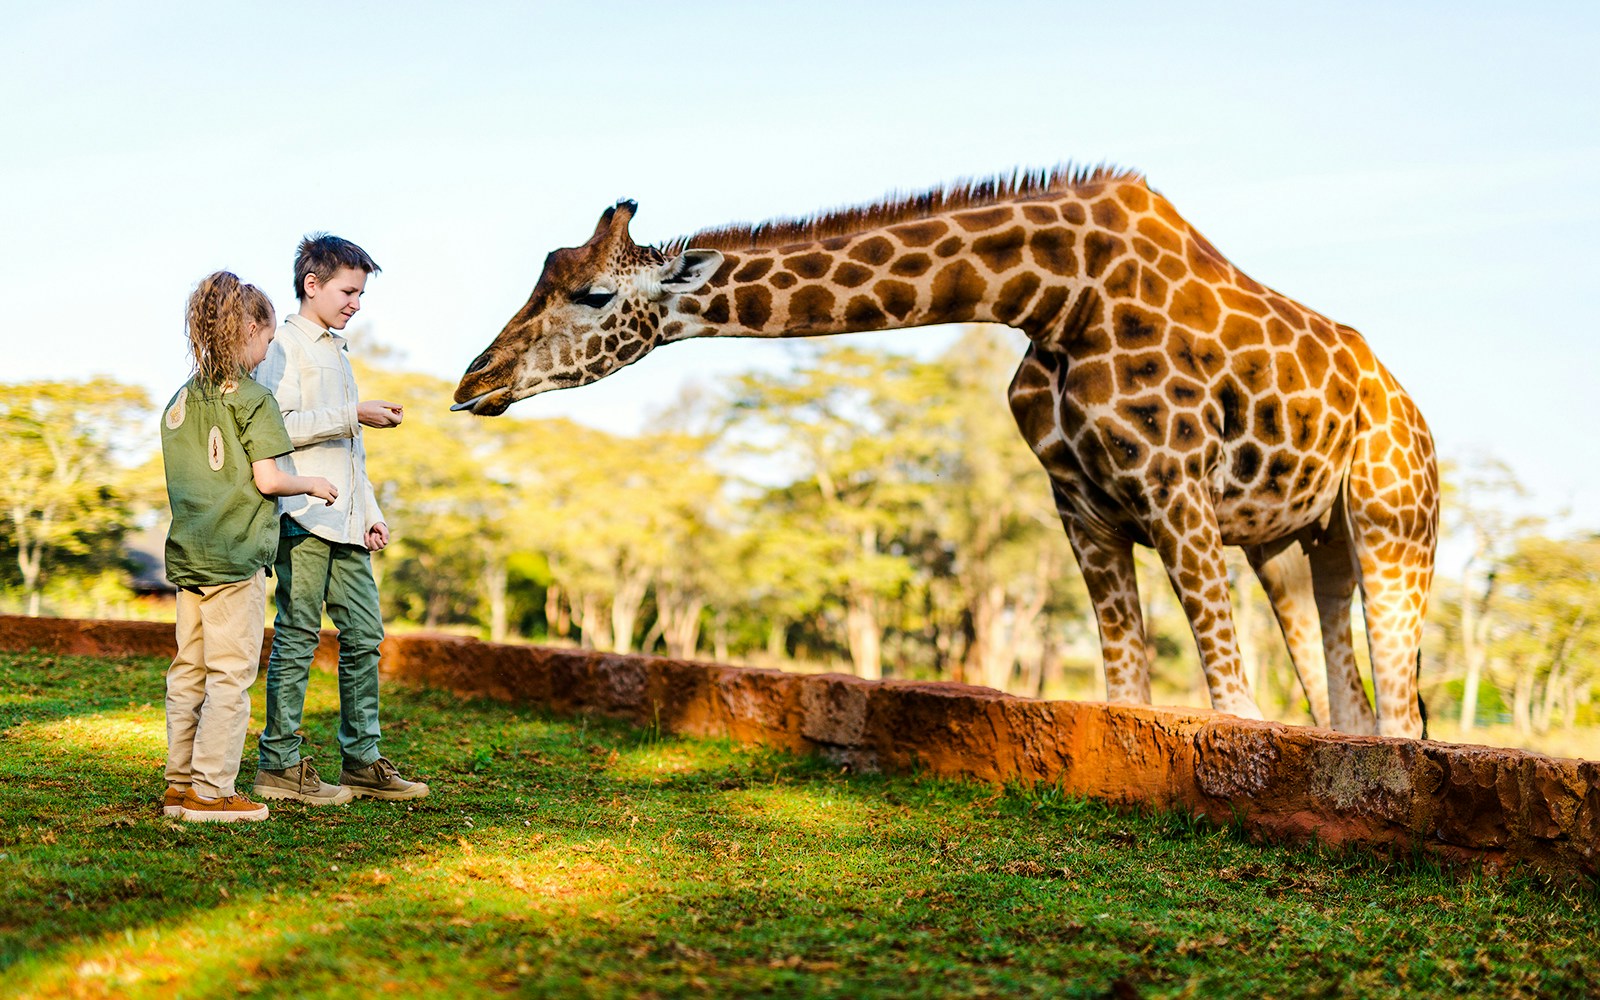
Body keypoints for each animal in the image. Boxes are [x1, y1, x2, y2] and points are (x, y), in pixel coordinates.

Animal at [453, 166, 1439, 738]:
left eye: (591, 293)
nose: (473, 381)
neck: (1050, 297)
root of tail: (1416, 420)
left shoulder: (1175, 487)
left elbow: (1233, 708)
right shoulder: (1082, 505)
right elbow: (1129, 697)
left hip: (1394, 527)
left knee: (1394, 716)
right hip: (1294, 542)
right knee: (1348, 710)